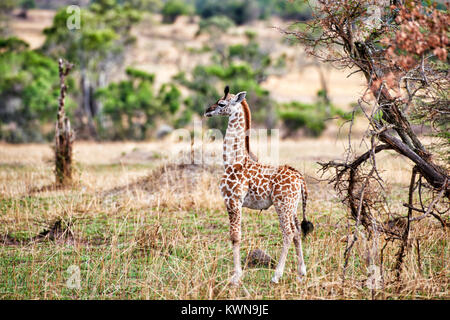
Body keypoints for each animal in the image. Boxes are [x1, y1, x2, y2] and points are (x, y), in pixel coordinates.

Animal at [204, 85, 312, 284]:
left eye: (221, 103)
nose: (207, 110)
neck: (233, 161)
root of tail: (300, 178)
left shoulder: (233, 201)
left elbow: (235, 237)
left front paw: (236, 277)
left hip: (282, 205)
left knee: (288, 233)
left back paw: (276, 276)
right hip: (292, 206)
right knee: (297, 232)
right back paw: (301, 272)